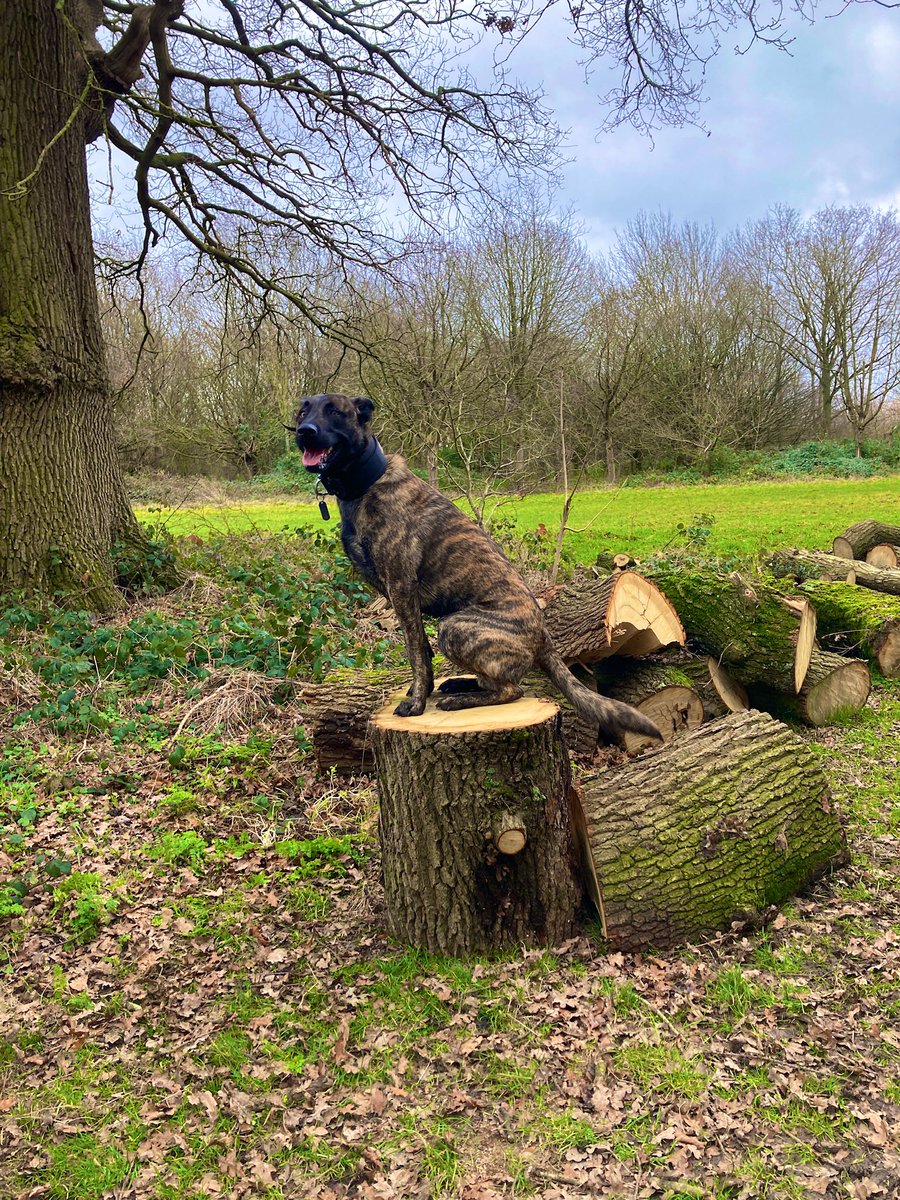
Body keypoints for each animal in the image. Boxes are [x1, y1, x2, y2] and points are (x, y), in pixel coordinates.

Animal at [294, 393, 662, 739]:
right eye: (303, 411)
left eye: (334, 411)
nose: (304, 432)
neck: (365, 484)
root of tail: (543, 634)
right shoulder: (401, 597)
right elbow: (422, 652)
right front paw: (419, 692)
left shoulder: (402, 589)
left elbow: (415, 654)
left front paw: (416, 703)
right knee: (495, 682)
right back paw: (459, 685)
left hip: (454, 627)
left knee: (512, 689)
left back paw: (460, 698)